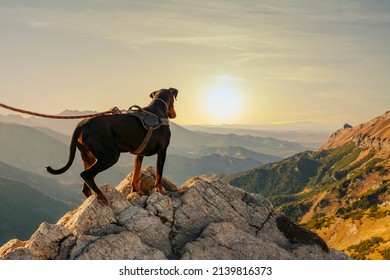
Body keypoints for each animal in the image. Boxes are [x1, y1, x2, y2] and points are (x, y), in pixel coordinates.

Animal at [45, 87, 178, 203]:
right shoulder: (162, 151)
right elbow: (159, 177)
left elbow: (135, 176)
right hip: (110, 156)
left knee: (86, 186)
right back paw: (102, 196)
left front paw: (134, 192)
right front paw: (162, 192)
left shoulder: (139, 155)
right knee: (86, 175)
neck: (158, 111)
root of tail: (82, 124)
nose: (174, 115)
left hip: (88, 156)